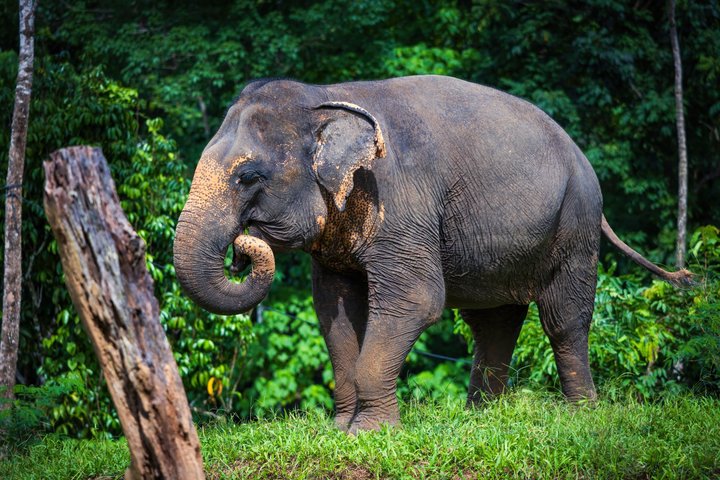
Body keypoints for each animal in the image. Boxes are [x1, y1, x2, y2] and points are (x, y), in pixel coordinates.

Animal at [173, 75, 692, 433]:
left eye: (249, 177)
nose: (242, 249)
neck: (326, 96)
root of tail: (582, 157)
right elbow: (334, 310)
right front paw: (338, 430)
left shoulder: (401, 199)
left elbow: (416, 299)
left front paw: (369, 434)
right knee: (494, 321)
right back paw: (481, 418)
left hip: (576, 222)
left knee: (564, 318)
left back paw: (581, 414)